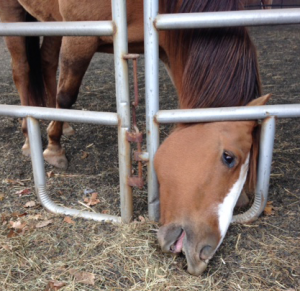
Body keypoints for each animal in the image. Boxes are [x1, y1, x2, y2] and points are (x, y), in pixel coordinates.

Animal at [0, 0, 268, 276]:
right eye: (229, 157)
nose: (205, 254)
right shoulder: (80, 36)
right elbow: (66, 96)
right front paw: (53, 148)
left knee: (45, 62)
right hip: (14, 13)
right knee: (22, 70)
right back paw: (31, 137)